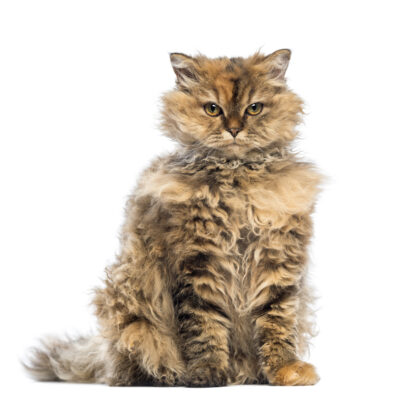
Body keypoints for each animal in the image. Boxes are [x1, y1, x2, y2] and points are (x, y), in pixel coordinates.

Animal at [24, 48, 322, 386]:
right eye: (212, 109)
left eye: (254, 108)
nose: (234, 129)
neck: (235, 180)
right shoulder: (197, 264)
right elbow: (204, 327)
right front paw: (207, 374)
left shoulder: (277, 263)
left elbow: (277, 324)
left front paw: (286, 370)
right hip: (131, 311)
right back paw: (166, 375)